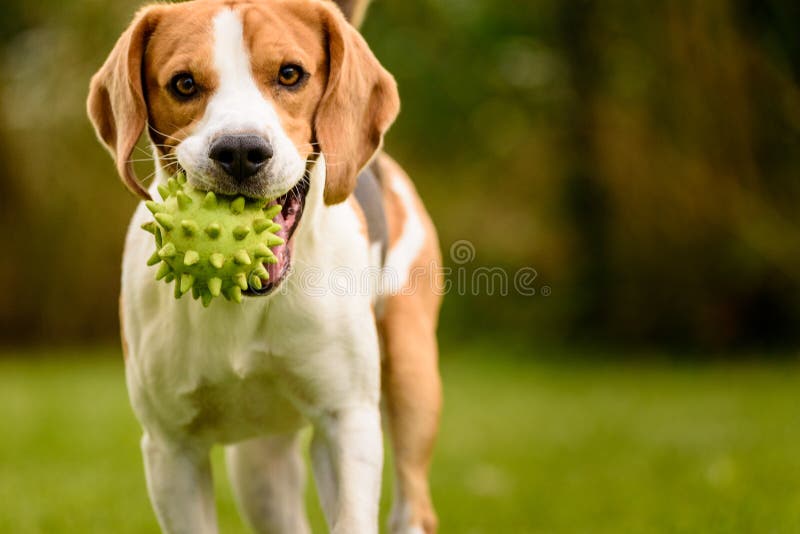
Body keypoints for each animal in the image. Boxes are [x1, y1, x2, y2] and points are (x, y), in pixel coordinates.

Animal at [87, 1, 444, 534]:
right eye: (184, 84)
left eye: (290, 74)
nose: (240, 150)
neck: (243, 300)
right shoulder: (171, 450)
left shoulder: (347, 422)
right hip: (259, 469)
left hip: (410, 375)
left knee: (412, 505)